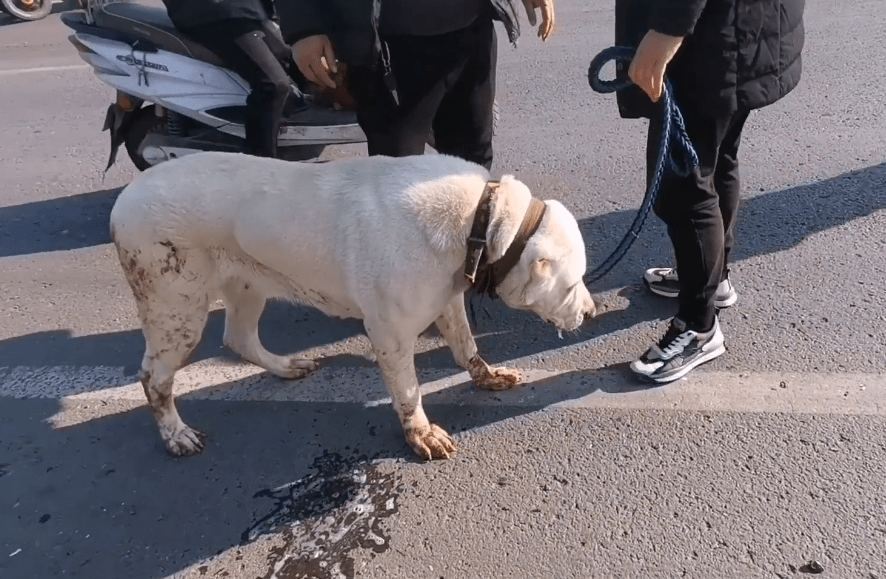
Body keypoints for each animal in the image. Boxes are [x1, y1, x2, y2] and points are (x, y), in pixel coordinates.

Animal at [111, 152, 596, 460]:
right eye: (573, 283)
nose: (591, 313)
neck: (481, 221)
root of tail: (123, 200)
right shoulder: (390, 335)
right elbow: (408, 391)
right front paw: (420, 433)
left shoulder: (448, 297)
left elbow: (465, 346)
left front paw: (487, 375)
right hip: (176, 306)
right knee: (154, 376)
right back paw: (175, 433)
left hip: (247, 281)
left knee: (239, 337)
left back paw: (285, 366)